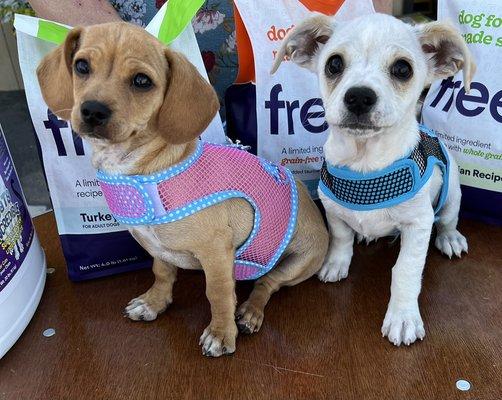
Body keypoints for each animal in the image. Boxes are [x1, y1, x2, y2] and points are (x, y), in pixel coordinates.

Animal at [39, 23, 330, 358]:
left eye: (142, 81)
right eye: (82, 66)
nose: (92, 111)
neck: (144, 169)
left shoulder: (216, 251)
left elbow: (218, 293)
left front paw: (221, 333)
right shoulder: (158, 249)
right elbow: (162, 273)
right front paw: (153, 303)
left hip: (297, 263)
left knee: (266, 284)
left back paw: (250, 313)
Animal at [272, 14, 476, 346]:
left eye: (403, 69)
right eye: (334, 64)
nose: (359, 97)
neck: (365, 164)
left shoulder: (418, 224)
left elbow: (405, 270)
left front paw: (403, 316)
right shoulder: (333, 209)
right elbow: (341, 237)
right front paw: (336, 262)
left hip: (452, 196)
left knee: (447, 220)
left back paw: (450, 239)